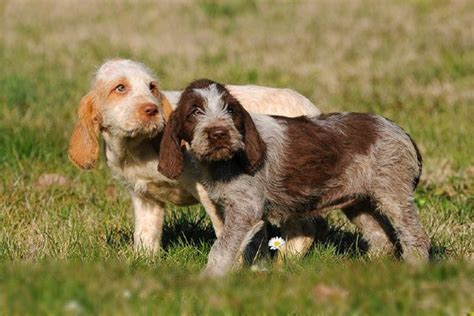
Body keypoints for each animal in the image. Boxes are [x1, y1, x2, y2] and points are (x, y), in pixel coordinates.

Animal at [158, 78, 430, 276]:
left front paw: (208, 280)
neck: (224, 162)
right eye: (194, 112)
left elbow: (222, 248)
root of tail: (400, 131)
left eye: (230, 110)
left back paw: (414, 270)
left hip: (393, 194)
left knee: (415, 237)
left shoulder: (245, 208)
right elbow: (251, 247)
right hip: (358, 202)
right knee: (381, 239)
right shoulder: (241, 212)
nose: (219, 134)